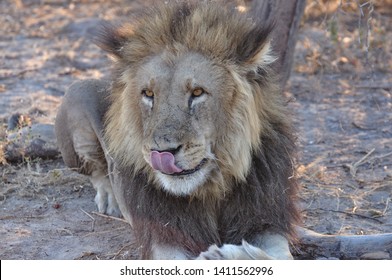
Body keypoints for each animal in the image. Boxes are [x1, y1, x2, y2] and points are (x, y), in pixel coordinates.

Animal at [55, 1, 298, 260]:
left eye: (197, 92)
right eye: (148, 94)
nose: (163, 152)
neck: (211, 190)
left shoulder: (265, 221)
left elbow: (280, 257)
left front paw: (227, 254)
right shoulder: (164, 237)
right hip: (77, 95)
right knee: (97, 172)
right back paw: (109, 198)